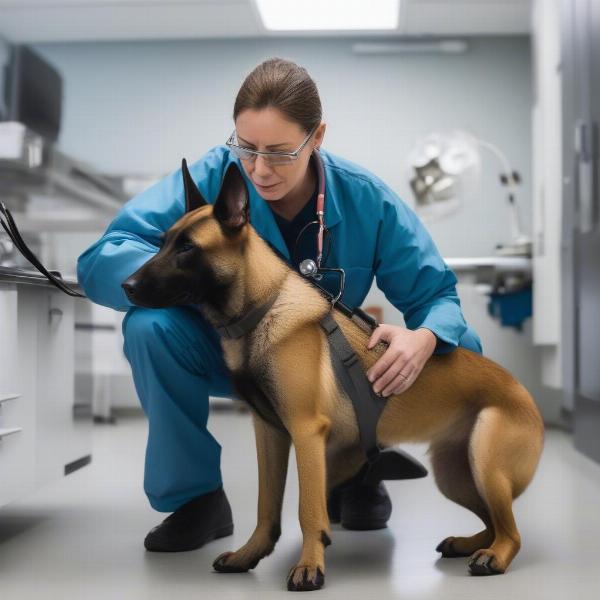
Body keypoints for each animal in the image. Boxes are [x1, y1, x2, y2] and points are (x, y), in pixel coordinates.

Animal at [122, 159, 544, 592]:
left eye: (188, 248)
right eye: (162, 242)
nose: (127, 286)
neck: (264, 308)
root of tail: (523, 392)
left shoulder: (306, 433)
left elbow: (308, 509)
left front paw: (309, 566)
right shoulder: (270, 435)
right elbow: (266, 507)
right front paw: (250, 554)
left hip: (485, 466)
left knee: (511, 531)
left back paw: (493, 557)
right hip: (455, 475)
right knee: (494, 522)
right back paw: (469, 544)